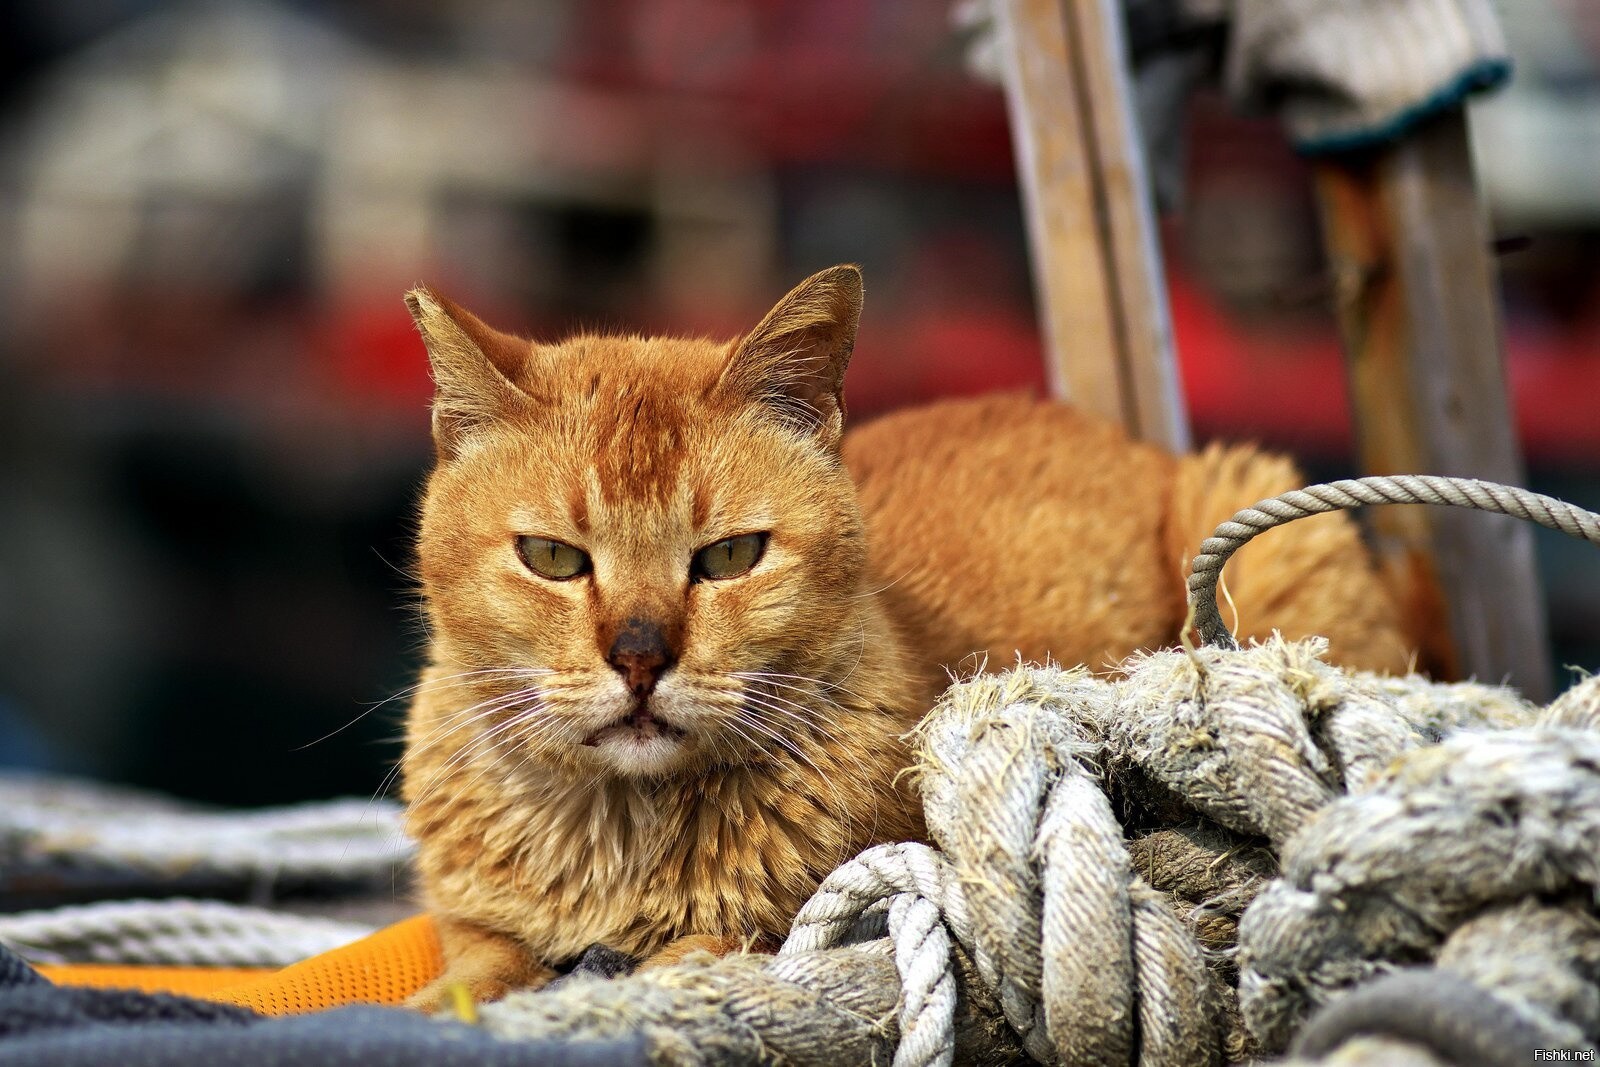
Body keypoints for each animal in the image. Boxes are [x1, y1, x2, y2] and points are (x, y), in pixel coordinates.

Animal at [400, 262, 1414, 1004]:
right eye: (552, 557)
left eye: (729, 555)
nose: (641, 657)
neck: (617, 833)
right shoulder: (471, 923)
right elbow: (479, 961)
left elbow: (717, 942)